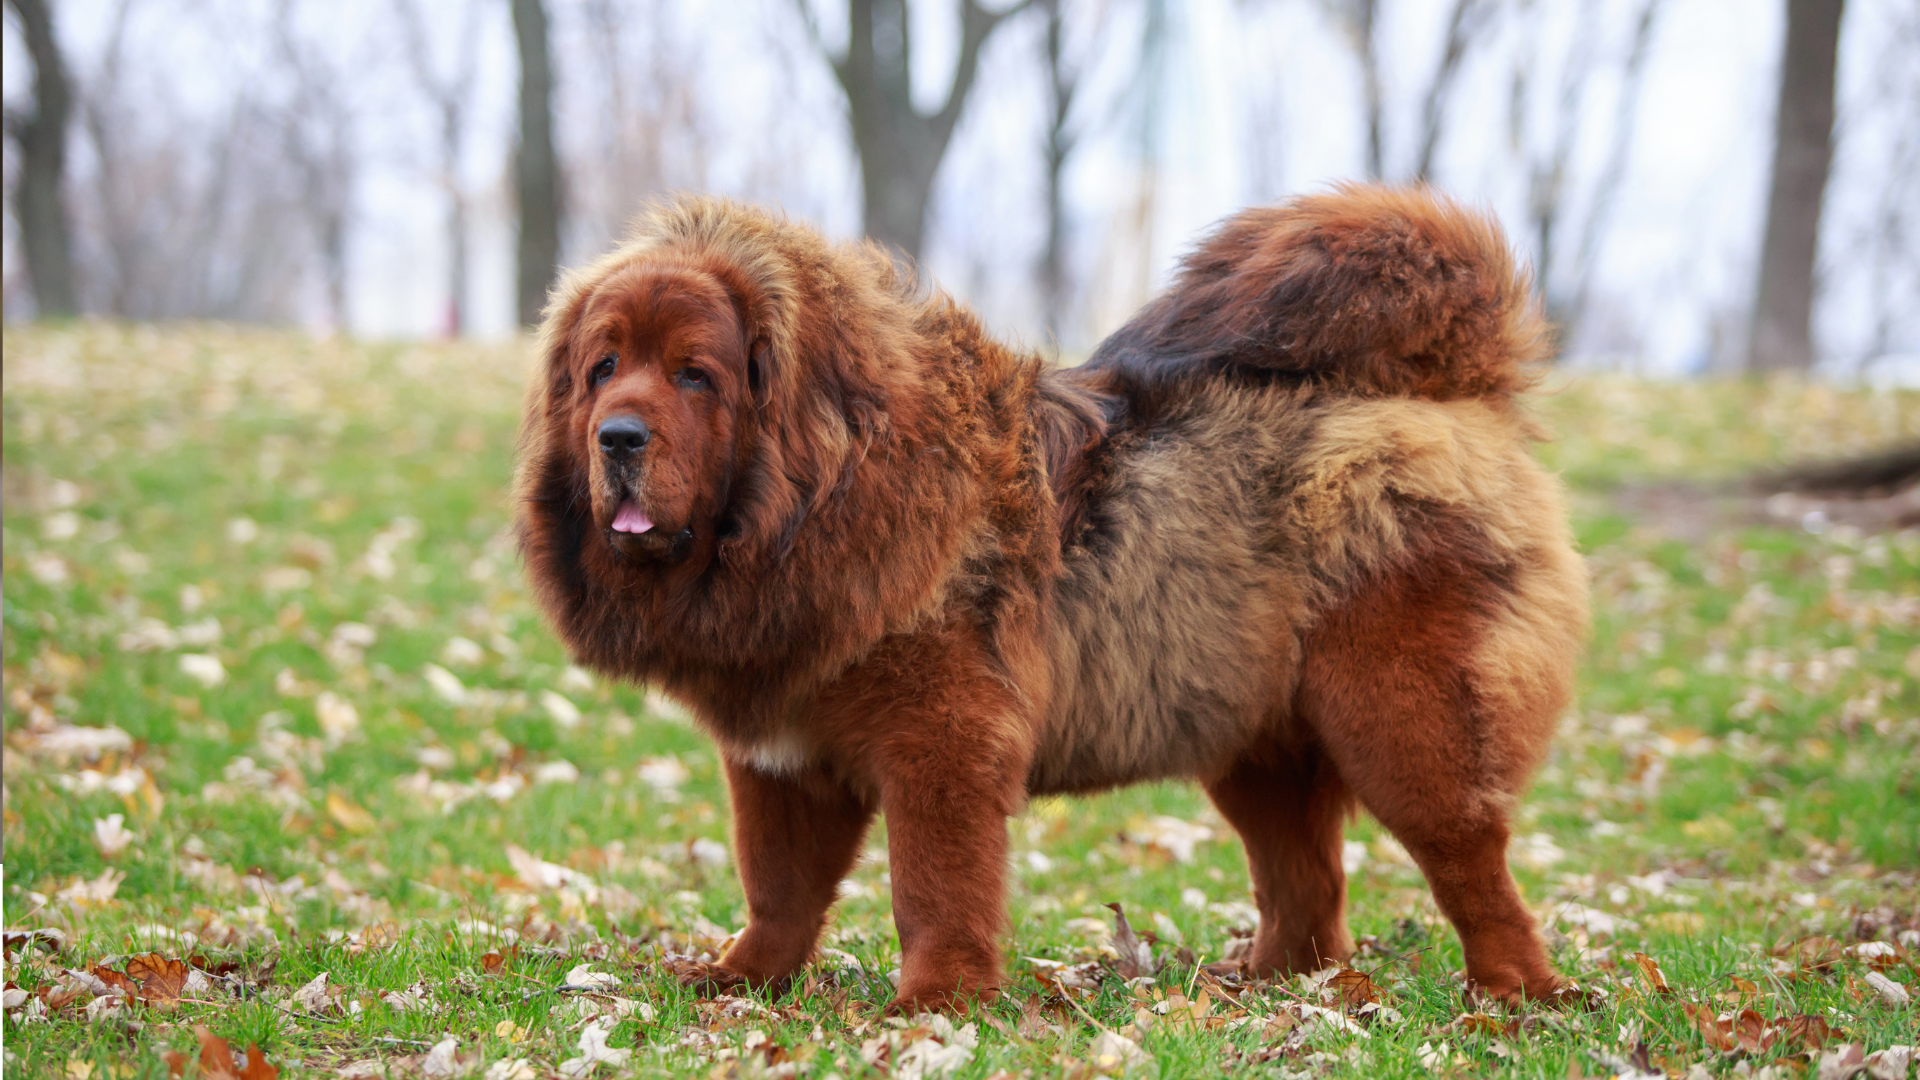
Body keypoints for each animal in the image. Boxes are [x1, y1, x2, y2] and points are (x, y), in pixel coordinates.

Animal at [514, 184, 1589, 1006]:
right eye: (602, 369)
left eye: (695, 376)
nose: (618, 437)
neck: (820, 500)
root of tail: (1457, 393)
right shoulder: (781, 758)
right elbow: (777, 888)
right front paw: (740, 981)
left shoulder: (940, 739)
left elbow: (933, 885)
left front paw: (936, 1003)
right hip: (1254, 741)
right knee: (1308, 887)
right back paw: (1269, 986)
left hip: (1400, 719)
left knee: (1470, 863)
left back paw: (1515, 997)